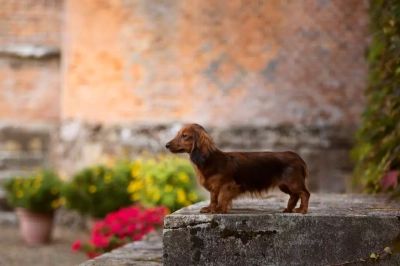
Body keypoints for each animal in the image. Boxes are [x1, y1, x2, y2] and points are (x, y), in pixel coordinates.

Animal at [165, 124, 310, 214]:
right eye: (178, 134)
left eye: (185, 136)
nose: (166, 145)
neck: (209, 160)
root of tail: (298, 157)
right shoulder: (214, 187)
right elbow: (213, 198)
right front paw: (210, 208)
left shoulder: (227, 185)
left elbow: (222, 197)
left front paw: (219, 209)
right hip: (284, 185)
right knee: (294, 195)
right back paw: (289, 209)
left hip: (293, 182)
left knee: (304, 194)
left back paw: (302, 210)